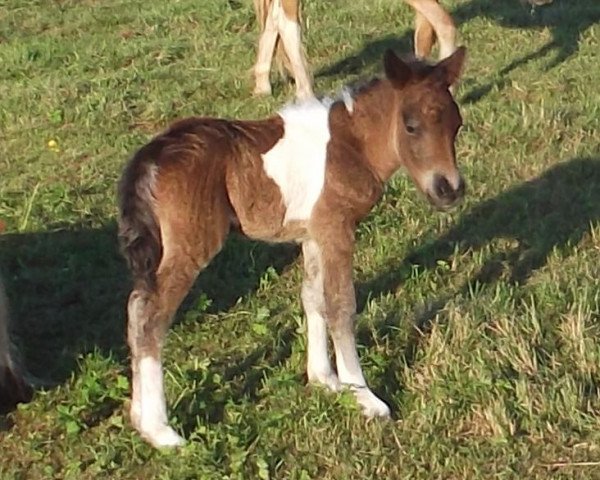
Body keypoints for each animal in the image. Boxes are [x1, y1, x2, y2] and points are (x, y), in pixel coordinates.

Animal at [119, 46, 466, 446]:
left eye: (457, 124)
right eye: (411, 125)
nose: (449, 189)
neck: (352, 144)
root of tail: (151, 156)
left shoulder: (313, 234)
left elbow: (313, 298)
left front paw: (325, 379)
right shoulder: (337, 230)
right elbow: (341, 305)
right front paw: (364, 395)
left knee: (136, 307)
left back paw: (137, 416)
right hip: (190, 247)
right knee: (151, 317)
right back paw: (160, 430)